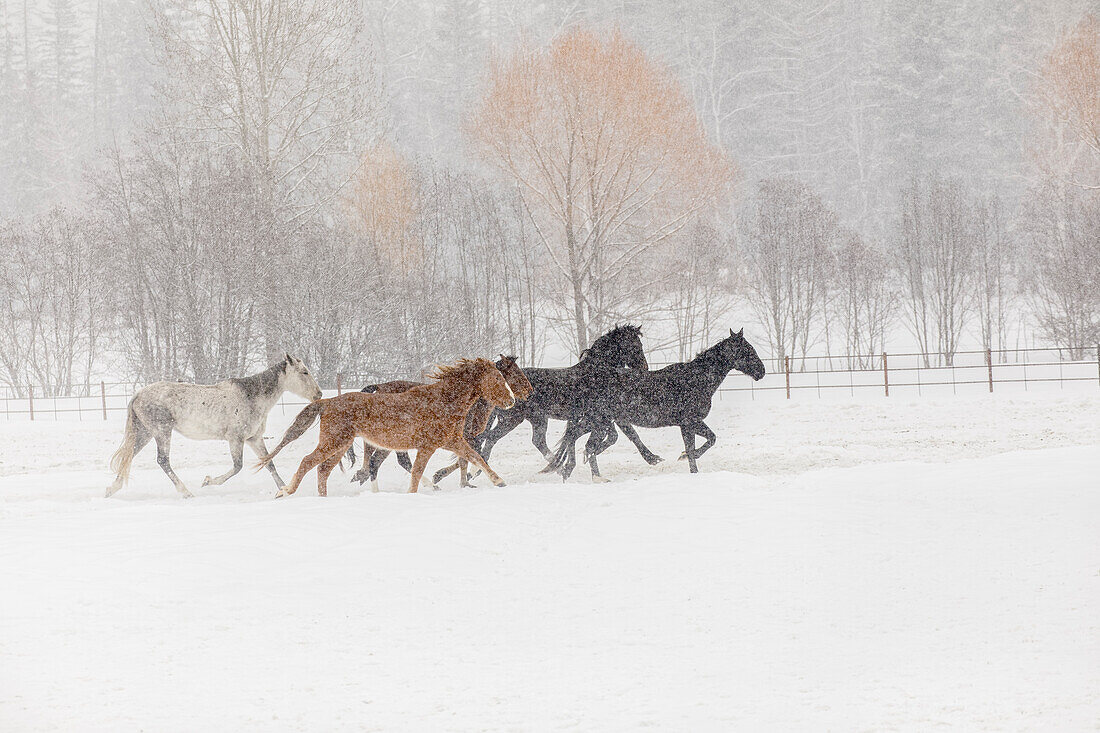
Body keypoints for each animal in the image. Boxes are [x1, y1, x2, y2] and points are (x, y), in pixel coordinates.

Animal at [106, 354, 321, 497]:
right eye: (304, 372)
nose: (318, 394)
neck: (251, 397)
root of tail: (138, 394)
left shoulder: (254, 439)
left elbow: (269, 463)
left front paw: (284, 490)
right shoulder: (236, 439)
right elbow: (237, 467)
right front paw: (208, 481)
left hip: (145, 433)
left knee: (130, 456)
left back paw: (111, 489)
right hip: (162, 431)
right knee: (162, 460)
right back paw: (186, 492)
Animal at [256, 354, 514, 493]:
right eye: (497, 378)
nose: (511, 400)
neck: (443, 400)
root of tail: (327, 402)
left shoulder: (453, 441)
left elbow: (476, 458)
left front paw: (499, 481)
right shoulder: (428, 446)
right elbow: (417, 472)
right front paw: (415, 492)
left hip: (340, 445)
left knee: (322, 470)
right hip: (333, 442)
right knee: (308, 462)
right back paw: (285, 492)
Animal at [446, 325, 660, 484]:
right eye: (635, 345)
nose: (644, 368)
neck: (595, 374)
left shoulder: (601, 416)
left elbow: (622, 434)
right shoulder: (602, 415)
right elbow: (621, 434)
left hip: (534, 419)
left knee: (526, 441)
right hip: (513, 419)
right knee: (489, 438)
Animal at [541, 325, 765, 477]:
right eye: (747, 351)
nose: (761, 371)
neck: (696, 379)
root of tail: (590, 379)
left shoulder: (691, 423)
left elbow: (709, 439)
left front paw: (685, 459)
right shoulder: (688, 423)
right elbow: (697, 446)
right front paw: (688, 461)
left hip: (597, 422)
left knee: (575, 437)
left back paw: (569, 470)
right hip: (597, 421)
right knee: (580, 441)